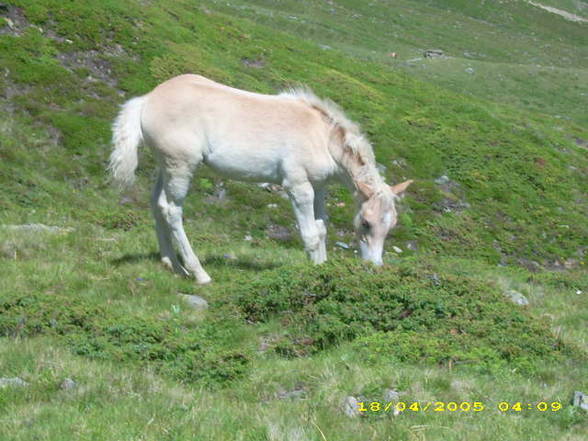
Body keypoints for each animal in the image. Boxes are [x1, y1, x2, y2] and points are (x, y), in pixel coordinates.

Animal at [110, 74, 414, 284]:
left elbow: (322, 229)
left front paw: (323, 269)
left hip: (166, 166)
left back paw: (172, 265)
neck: (322, 137)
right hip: (181, 165)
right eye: (365, 223)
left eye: (392, 226)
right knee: (172, 210)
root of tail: (147, 100)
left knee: (156, 204)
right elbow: (309, 235)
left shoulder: (319, 188)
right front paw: (313, 273)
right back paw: (199, 273)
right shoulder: (298, 186)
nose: (373, 268)